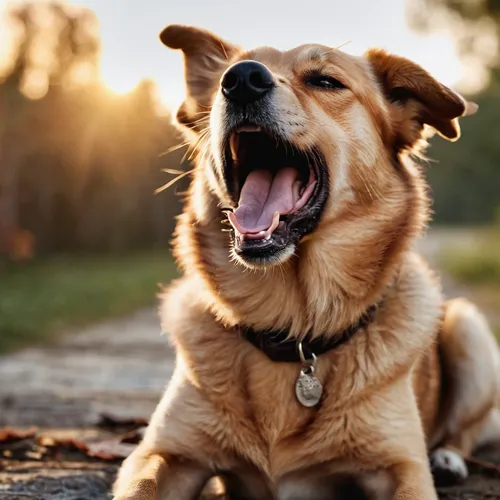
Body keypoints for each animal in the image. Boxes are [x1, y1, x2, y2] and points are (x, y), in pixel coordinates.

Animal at [113, 25, 500, 498]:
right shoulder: (164, 455)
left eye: (325, 81)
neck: (294, 328)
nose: (241, 80)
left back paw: (447, 458)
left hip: (468, 328)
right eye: (226, 75)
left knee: (464, 430)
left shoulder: (401, 467)